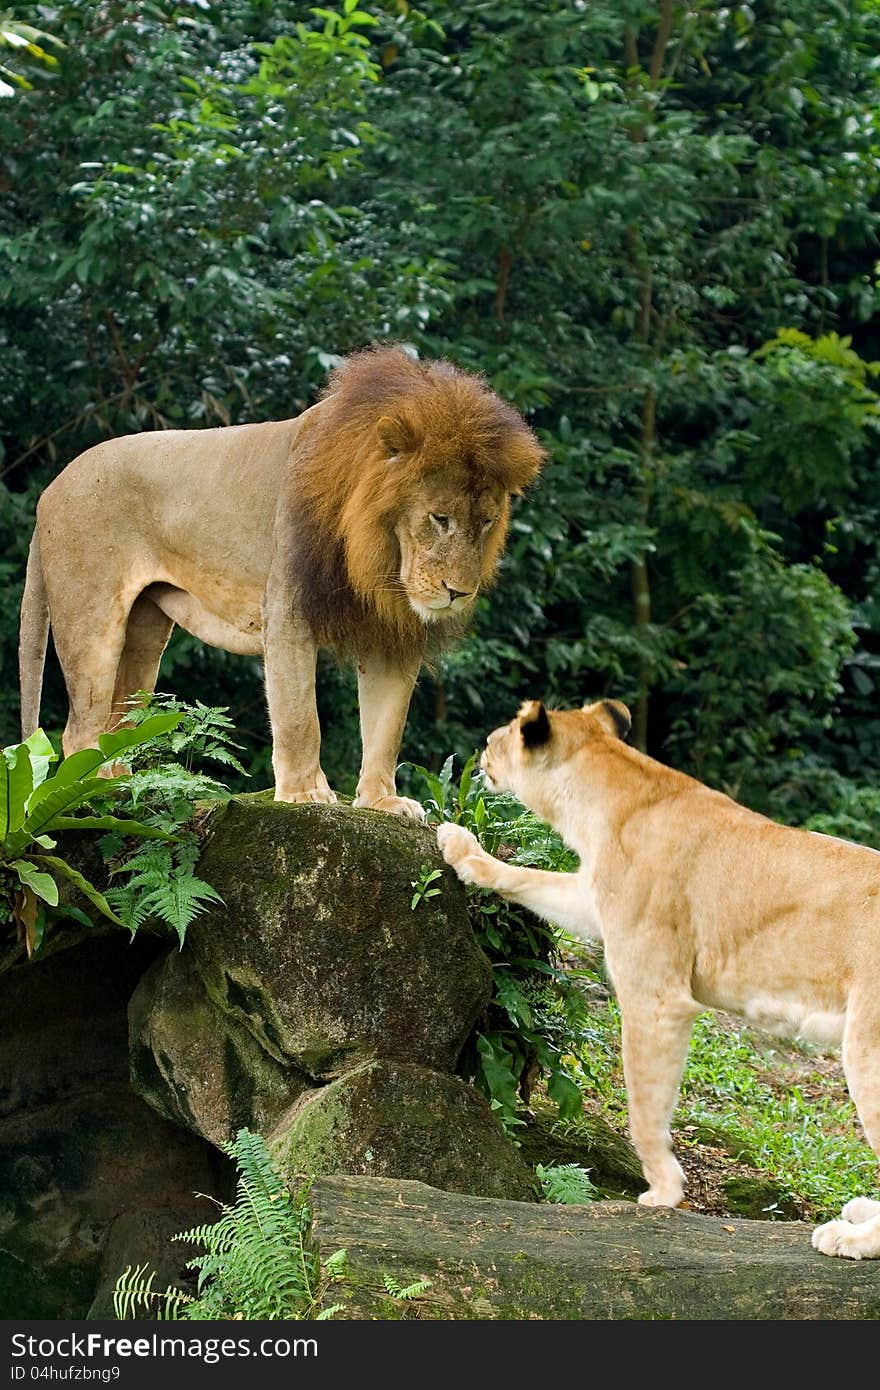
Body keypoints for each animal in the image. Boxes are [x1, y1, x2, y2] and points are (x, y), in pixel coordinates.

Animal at [18, 346, 542, 811]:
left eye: (487, 523)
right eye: (440, 518)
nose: (460, 592)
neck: (377, 555)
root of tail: (50, 490)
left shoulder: (390, 630)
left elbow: (386, 725)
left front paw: (381, 802)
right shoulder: (288, 609)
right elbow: (298, 715)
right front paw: (305, 794)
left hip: (143, 632)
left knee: (117, 721)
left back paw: (122, 785)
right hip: (92, 621)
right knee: (80, 728)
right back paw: (93, 796)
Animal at [436, 700, 878, 1256]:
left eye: (498, 738)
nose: (480, 753)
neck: (607, 798)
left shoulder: (655, 994)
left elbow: (644, 1105)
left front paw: (663, 1191)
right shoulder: (593, 901)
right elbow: (530, 879)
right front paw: (459, 846)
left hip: (867, 1048)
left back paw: (851, 1238)